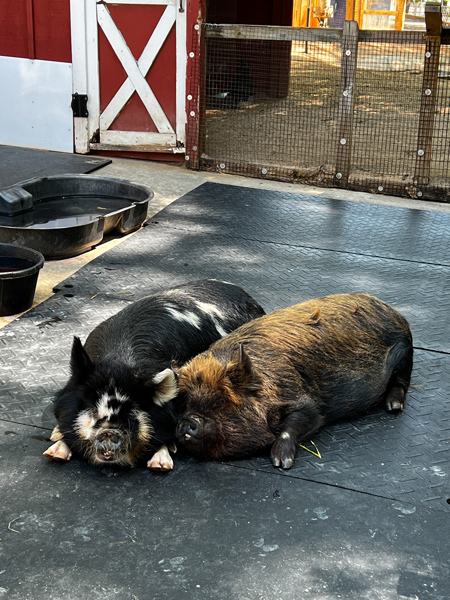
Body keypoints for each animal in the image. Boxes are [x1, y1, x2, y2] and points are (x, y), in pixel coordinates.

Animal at [156, 294, 414, 468]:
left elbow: (295, 425)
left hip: (405, 354)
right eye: (184, 404)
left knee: (401, 382)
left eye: (221, 401)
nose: (186, 422)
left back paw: (393, 407)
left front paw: (281, 462)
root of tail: (395, 313)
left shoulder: (312, 405)